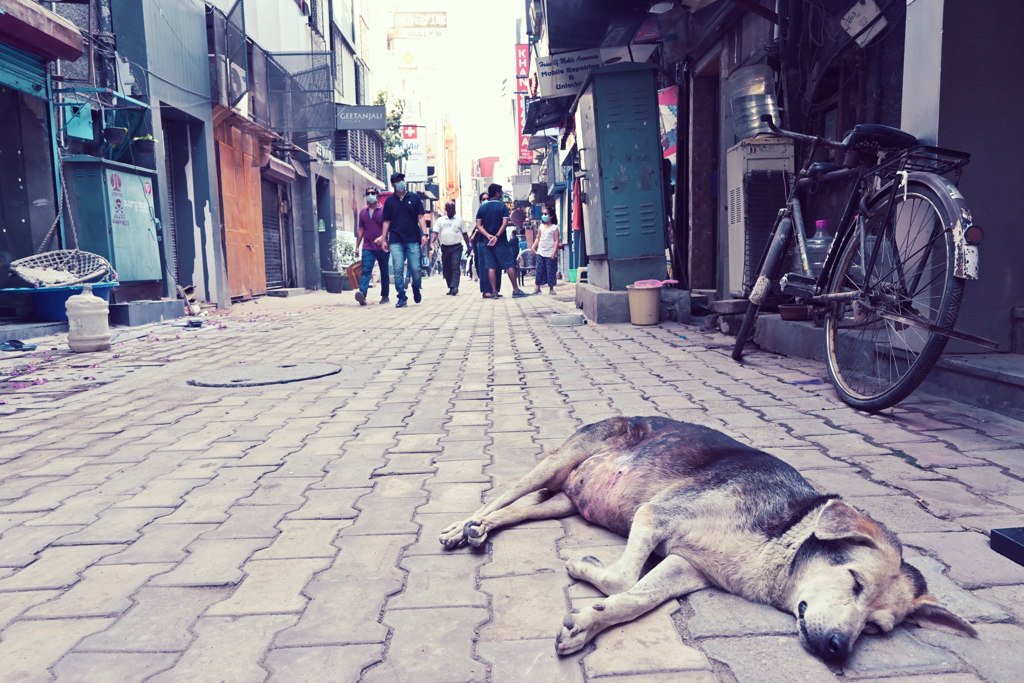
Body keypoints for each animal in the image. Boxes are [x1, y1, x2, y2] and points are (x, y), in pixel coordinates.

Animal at [442, 417, 974, 663]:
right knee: (504, 493)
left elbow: (634, 598)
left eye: (879, 628)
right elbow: (621, 580)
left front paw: (589, 622)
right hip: (561, 459)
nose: (838, 650)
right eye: (855, 581)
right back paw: (460, 525)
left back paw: (481, 530)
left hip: (567, 501)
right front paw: (582, 568)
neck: (777, 539)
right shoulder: (655, 515)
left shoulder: (687, 566)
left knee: (516, 510)